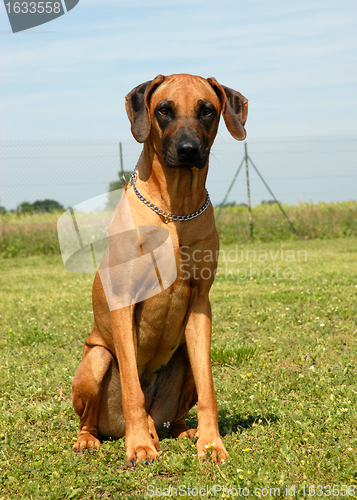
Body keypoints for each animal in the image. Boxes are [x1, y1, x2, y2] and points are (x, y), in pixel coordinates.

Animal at [71, 73, 246, 464]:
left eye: (207, 110)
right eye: (164, 110)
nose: (188, 150)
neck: (174, 210)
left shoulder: (200, 304)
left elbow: (210, 389)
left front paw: (212, 444)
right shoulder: (124, 302)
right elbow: (133, 390)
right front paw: (139, 445)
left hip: (185, 360)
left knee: (177, 412)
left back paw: (184, 432)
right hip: (97, 360)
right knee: (93, 417)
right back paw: (93, 439)